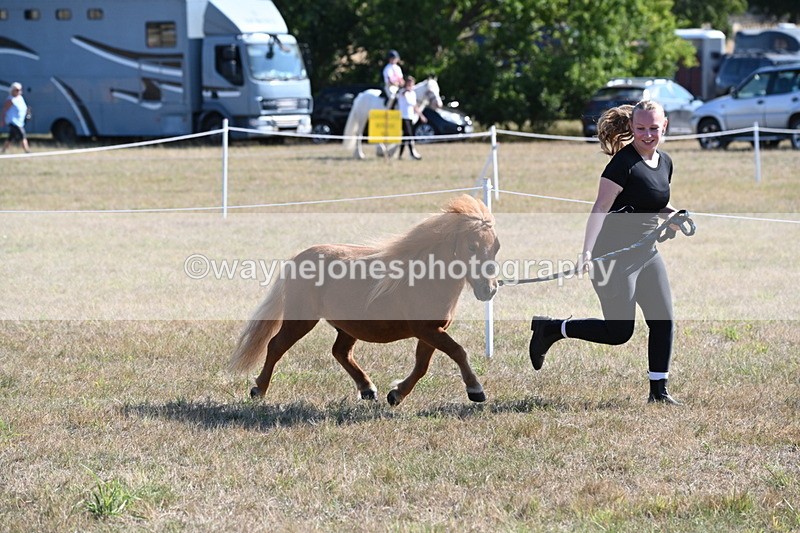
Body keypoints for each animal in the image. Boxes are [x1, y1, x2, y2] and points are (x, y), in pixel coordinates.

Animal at [230, 194, 499, 406]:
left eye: (496, 247)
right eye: (472, 246)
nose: (489, 289)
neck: (426, 277)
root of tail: (298, 258)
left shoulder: (432, 331)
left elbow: (422, 365)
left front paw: (396, 394)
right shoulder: (427, 330)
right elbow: (457, 351)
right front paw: (476, 390)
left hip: (348, 327)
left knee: (340, 352)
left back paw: (368, 389)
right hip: (301, 320)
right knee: (276, 346)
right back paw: (258, 389)